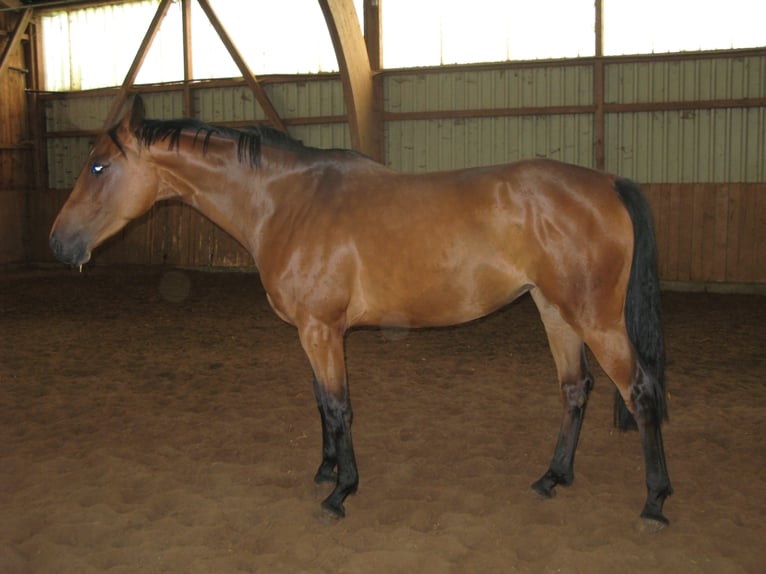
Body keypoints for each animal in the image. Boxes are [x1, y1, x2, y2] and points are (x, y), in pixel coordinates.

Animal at [51, 95, 672, 532]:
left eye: (99, 167)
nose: (59, 243)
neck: (287, 202)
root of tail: (607, 183)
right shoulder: (313, 332)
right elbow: (321, 403)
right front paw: (327, 469)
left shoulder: (322, 331)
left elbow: (339, 406)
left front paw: (340, 491)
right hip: (555, 310)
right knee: (575, 389)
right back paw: (553, 478)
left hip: (594, 318)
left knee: (640, 393)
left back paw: (654, 501)